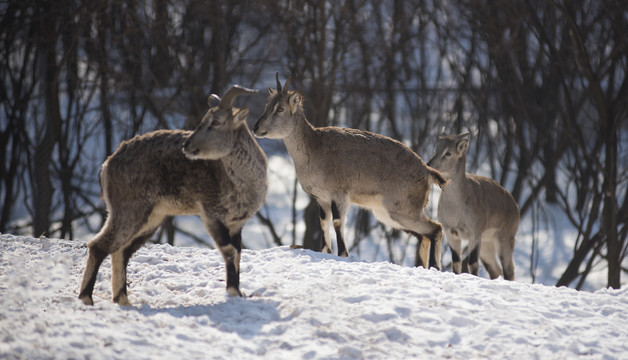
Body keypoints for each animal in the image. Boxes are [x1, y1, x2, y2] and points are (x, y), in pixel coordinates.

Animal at [77, 86, 266, 306]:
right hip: (128, 209)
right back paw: (87, 298)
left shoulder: (237, 222)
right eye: (204, 119)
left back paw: (122, 299)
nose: (187, 145)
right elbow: (229, 251)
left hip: (153, 216)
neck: (243, 183)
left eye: (216, 122)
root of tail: (107, 165)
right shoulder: (211, 214)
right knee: (99, 245)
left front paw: (237, 292)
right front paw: (234, 293)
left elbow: (237, 253)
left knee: (121, 250)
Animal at [251, 74, 446, 268]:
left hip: (401, 208)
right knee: (424, 235)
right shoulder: (321, 198)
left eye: (280, 108)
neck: (314, 149)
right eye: (267, 106)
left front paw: (342, 254)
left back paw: (436, 266)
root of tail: (427, 171)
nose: (256, 128)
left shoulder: (340, 195)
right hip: (387, 213)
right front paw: (326, 250)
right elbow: (324, 223)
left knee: (436, 228)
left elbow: (338, 224)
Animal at [426, 134, 520, 280]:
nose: (429, 164)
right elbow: (456, 262)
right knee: (496, 270)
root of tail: (515, 206)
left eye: (448, 153)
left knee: (508, 269)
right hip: (487, 244)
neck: (455, 209)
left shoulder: (474, 233)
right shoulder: (451, 233)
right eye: (436, 149)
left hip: (505, 237)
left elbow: (472, 264)